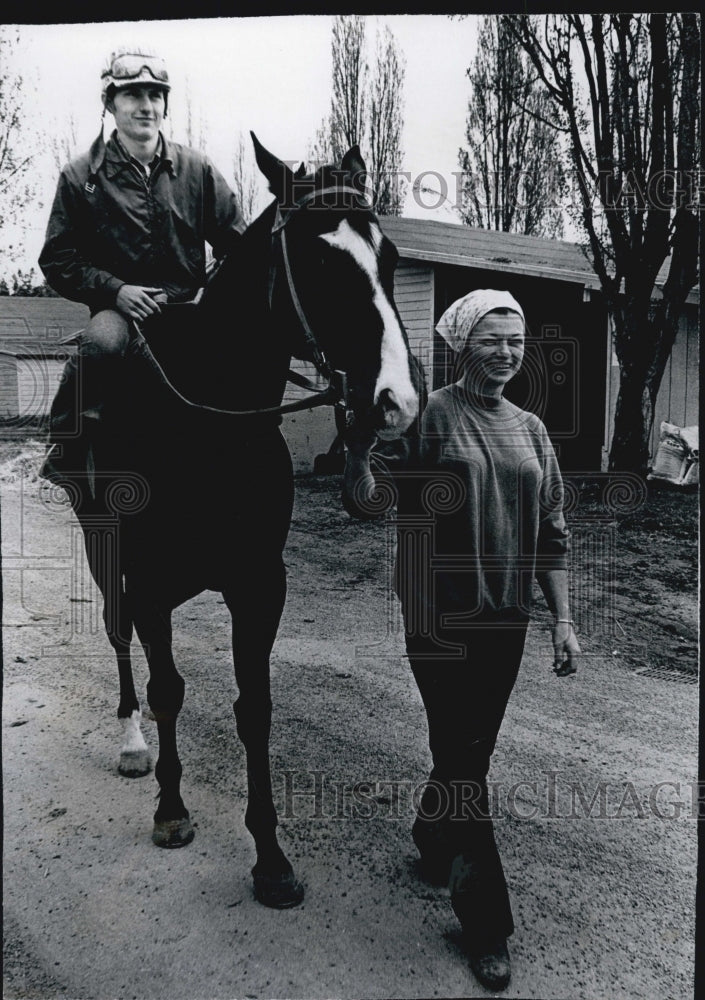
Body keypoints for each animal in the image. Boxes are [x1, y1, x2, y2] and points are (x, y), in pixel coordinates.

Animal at [48, 137, 424, 912]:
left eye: (391, 256)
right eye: (320, 261)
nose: (396, 401)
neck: (209, 425)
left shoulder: (258, 584)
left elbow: (255, 709)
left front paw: (270, 857)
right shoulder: (151, 582)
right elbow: (167, 690)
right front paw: (170, 810)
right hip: (101, 545)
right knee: (118, 636)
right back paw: (132, 743)